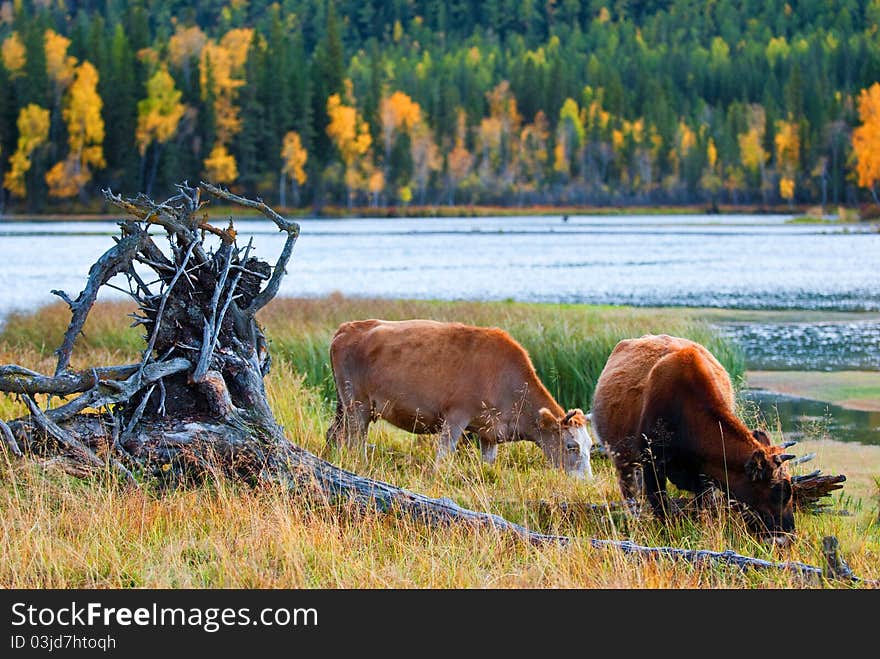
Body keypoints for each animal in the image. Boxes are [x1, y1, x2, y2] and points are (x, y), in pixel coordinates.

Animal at [326, 320, 596, 480]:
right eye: (571, 446)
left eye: (590, 445)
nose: (586, 481)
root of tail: (348, 327)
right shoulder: (455, 416)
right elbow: (444, 455)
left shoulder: (490, 432)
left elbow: (488, 463)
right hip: (357, 405)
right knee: (355, 441)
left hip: (346, 406)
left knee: (335, 434)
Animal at [592, 336, 796, 540]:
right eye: (779, 491)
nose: (789, 535)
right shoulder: (652, 464)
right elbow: (660, 507)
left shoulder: (703, 477)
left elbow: (703, 508)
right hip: (623, 461)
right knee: (630, 494)